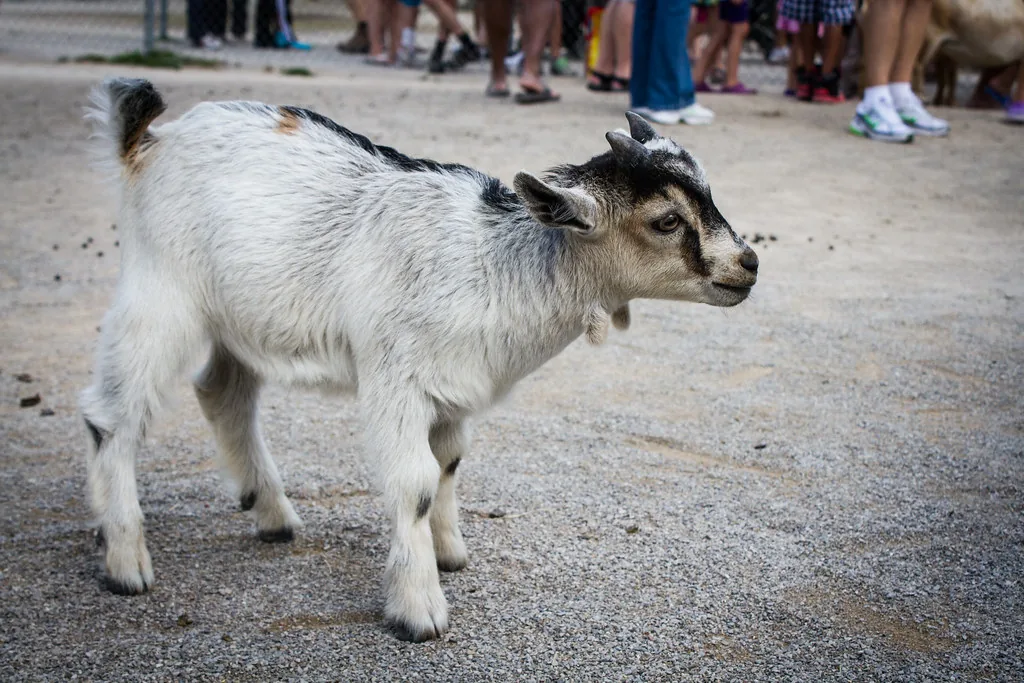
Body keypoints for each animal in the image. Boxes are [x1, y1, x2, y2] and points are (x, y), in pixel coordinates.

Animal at [81, 78, 758, 641]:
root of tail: (148, 140)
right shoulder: (396, 380)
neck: (496, 265)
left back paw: (272, 516)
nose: (748, 264)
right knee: (111, 414)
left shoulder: (452, 387)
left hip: (240, 317)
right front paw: (418, 608)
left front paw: (449, 553)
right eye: (666, 221)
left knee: (224, 392)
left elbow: (450, 463)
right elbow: (414, 483)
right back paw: (126, 561)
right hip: (162, 292)